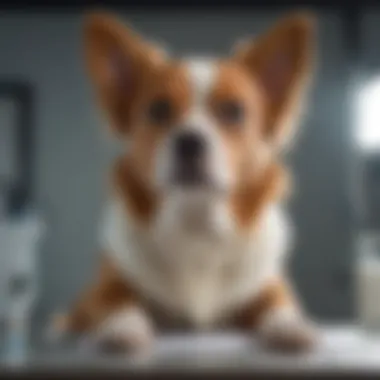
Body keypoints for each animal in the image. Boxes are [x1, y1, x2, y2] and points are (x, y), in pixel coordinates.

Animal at [50, 9, 318, 354]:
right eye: (158, 109)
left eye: (233, 111)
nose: (189, 141)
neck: (196, 221)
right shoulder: (108, 284)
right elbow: (117, 303)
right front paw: (121, 329)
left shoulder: (268, 284)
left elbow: (279, 304)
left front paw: (290, 327)